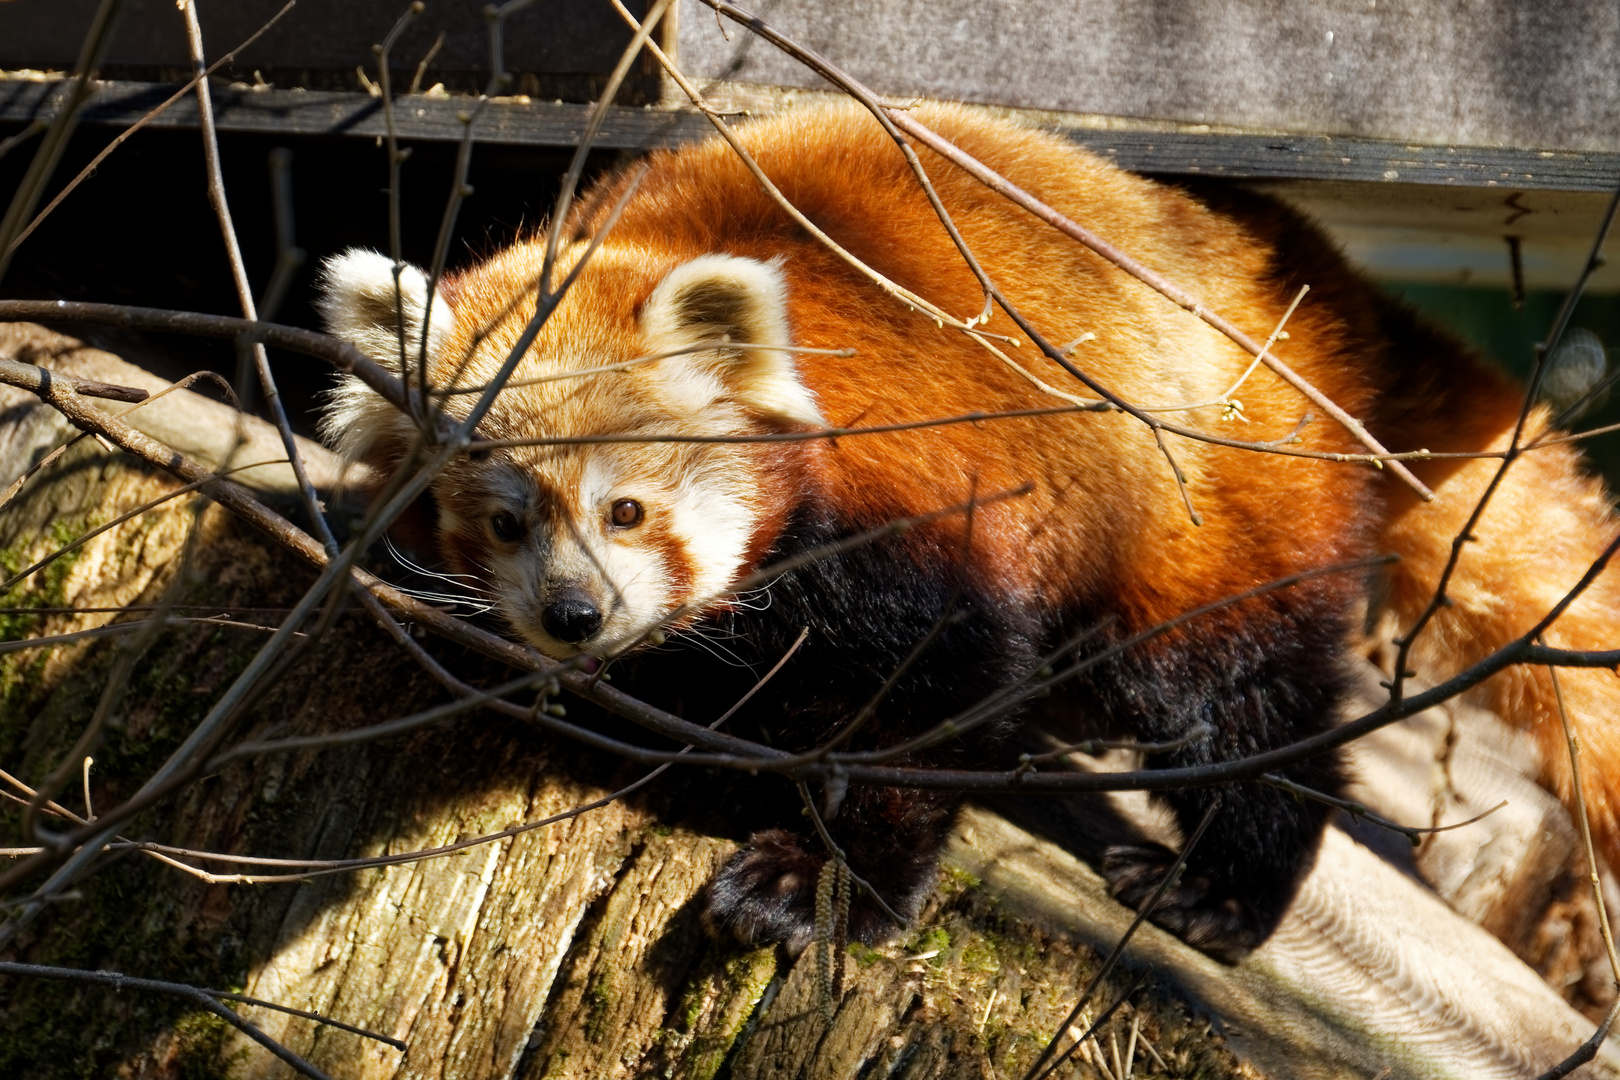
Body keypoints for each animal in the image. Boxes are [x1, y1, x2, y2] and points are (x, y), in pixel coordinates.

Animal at [315, 103, 1620, 965]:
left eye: (625, 509)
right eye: (503, 521)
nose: (576, 616)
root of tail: (1329, 293)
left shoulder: (916, 514)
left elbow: (926, 708)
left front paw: (817, 884)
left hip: (1210, 501)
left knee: (1238, 694)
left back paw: (1218, 888)